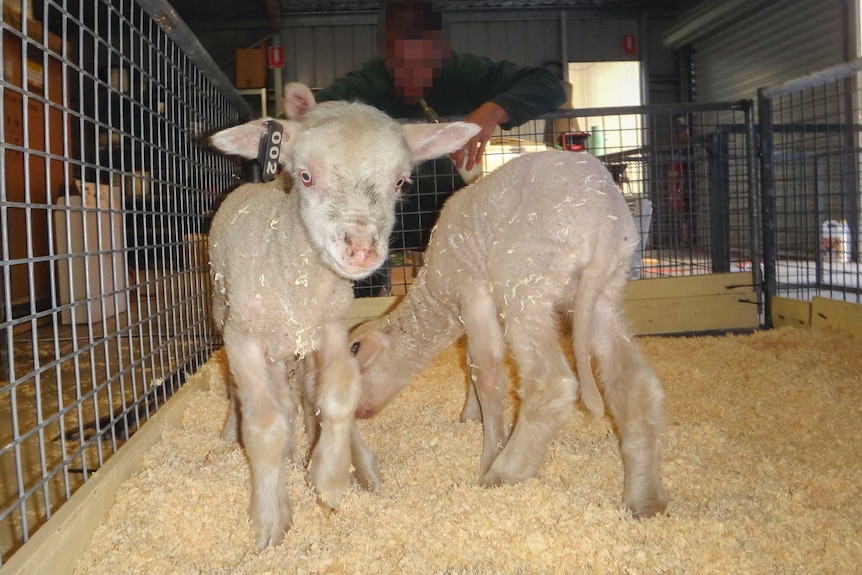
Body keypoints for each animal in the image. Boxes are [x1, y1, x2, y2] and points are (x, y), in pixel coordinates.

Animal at [207, 82, 482, 548]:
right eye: (306, 176)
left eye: (400, 181)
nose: (361, 251)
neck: (295, 276)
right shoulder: (243, 338)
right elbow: (264, 425)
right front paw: (269, 519)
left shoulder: (330, 330)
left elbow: (338, 396)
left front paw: (330, 477)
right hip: (225, 314)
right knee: (250, 395)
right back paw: (232, 433)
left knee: (305, 394)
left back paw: (359, 465)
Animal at [350, 151, 668, 520]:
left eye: (354, 348)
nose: (353, 413)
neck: (439, 295)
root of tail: (603, 220)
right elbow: (471, 363)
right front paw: (470, 416)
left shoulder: (472, 289)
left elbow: (485, 370)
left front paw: (490, 451)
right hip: (604, 291)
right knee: (636, 385)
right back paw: (645, 499)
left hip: (525, 281)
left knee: (553, 384)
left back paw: (503, 473)